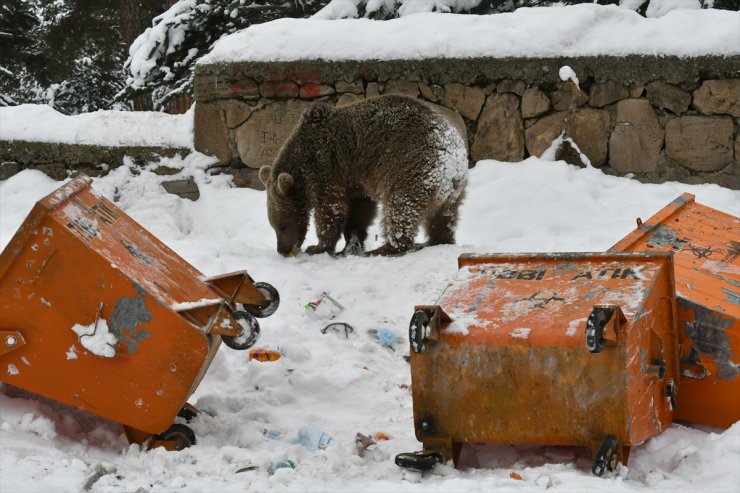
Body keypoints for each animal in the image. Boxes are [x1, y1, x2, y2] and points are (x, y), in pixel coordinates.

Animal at [260, 96, 468, 258]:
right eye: (273, 226)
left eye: (282, 225)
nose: (281, 249)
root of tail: (453, 156)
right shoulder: (354, 178)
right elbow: (360, 211)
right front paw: (351, 242)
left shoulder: (325, 167)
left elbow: (329, 209)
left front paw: (318, 246)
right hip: (452, 192)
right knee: (443, 219)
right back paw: (438, 240)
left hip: (410, 166)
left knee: (400, 208)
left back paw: (386, 248)